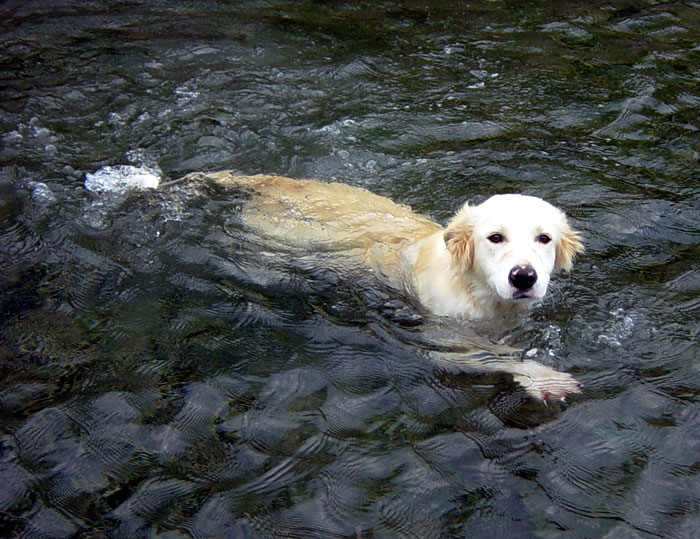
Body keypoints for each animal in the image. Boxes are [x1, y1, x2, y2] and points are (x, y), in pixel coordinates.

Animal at [174, 172, 584, 400]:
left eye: (544, 238)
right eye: (495, 237)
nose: (524, 276)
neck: (477, 293)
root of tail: (278, 184)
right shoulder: (441, 335)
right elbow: (489, 355)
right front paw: (545, 379)